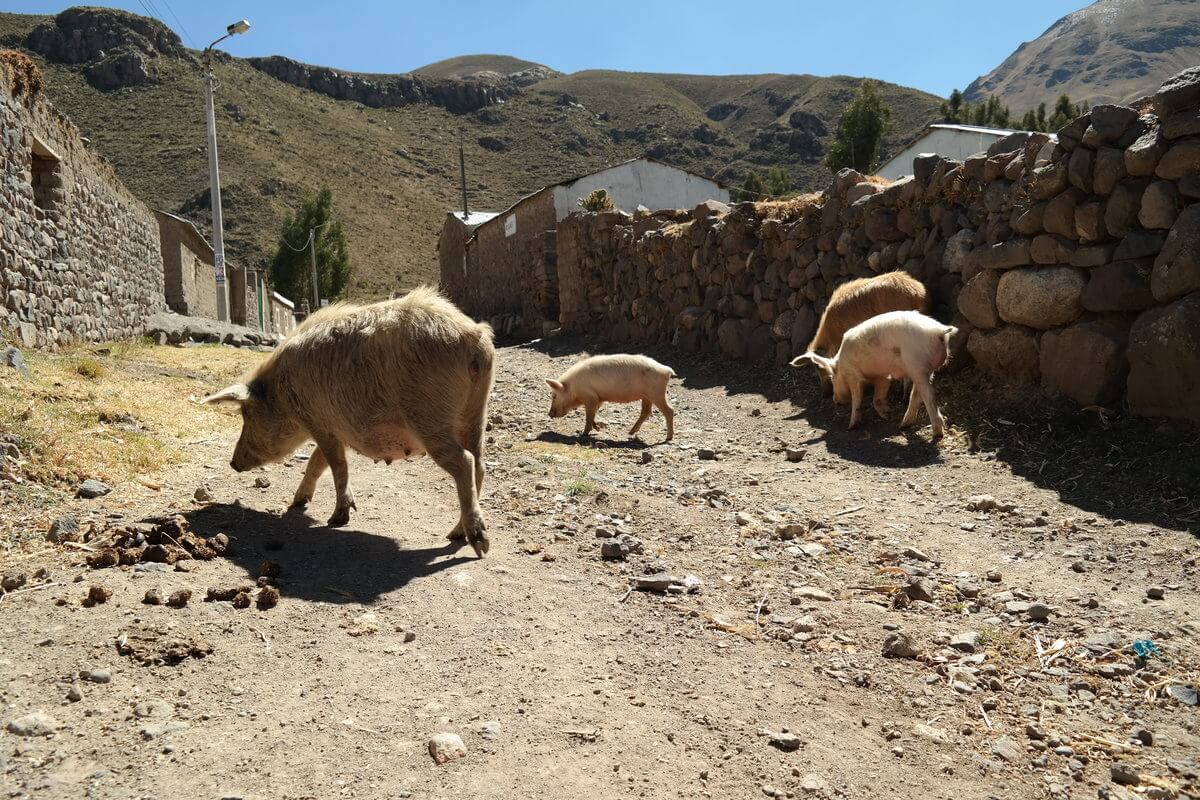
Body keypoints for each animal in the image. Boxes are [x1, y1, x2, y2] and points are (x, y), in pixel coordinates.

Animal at [204, 286, 494, 556]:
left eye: (247, 415)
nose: (233, 463)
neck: (282, 391)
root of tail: (474, 336)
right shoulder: (333, 428)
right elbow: (316, 463)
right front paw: (297, 502)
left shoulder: (319, 422)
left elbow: (336, 465)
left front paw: (337, 518)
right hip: (473, 415)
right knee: (479, 464)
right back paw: (455, 534)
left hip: (430, 416)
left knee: (465, 462)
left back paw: (478, 543)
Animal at [549, 357, 681, 443]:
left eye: (554, 396)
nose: (549, 414)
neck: (573, 388)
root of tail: (667, 371)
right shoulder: (598, 398)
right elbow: (593, 414)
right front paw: (598, 428)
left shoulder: (590, 396)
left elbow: (589, 415)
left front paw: (584, 433)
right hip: (647, 396)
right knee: (646, 412)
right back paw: (630, 433)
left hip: (657, 393)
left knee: (669, 410)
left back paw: (668, 438)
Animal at [796, 311, 955, 438]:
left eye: (832, 379)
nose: (835, 400)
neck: (841, 364)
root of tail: (938, 331)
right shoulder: (882, 377)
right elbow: (877, 397)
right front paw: (887, 414)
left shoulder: (853, 374)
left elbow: (857, 398)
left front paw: (851, 426)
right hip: (926, 370)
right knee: (916, 394)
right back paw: (903, 425)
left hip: (917, 365)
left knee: (929, 395)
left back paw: (937, 434)